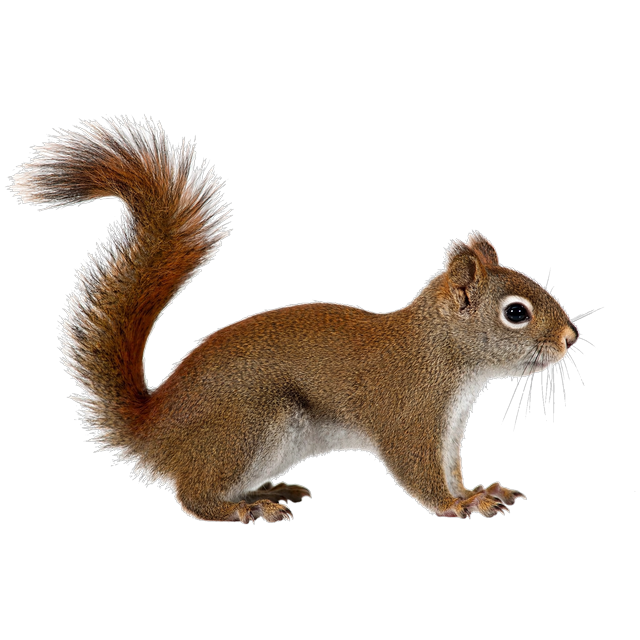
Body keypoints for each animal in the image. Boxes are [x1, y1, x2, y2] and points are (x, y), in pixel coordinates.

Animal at [11, 118, 580, 524]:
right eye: (515, 313)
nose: (571, 337)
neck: (443, 355)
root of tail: (156, 429)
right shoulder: (408, 416)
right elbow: (420, 474)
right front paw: (460, 505)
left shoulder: (450, 428)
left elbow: (452, 467)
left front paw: (477, 490)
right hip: (249, 426)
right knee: (194, 496)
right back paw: (246, 508)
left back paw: (269, 489)